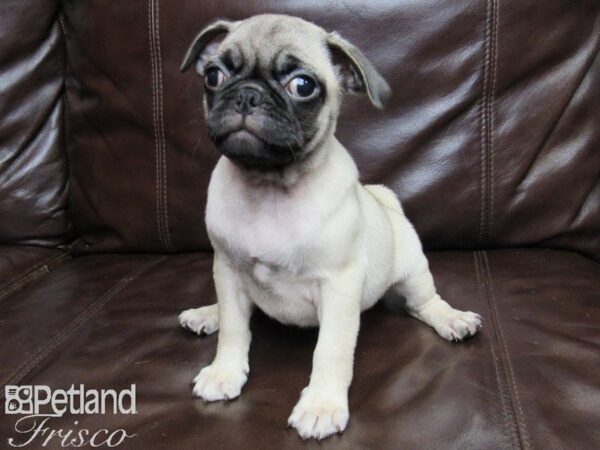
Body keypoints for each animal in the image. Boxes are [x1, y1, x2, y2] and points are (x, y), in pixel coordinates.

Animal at [179, 13, 482, 440]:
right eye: (213, 76)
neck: (269, 187)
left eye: (303, 86)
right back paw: (210, 314)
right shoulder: (227, 270)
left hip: (412, 270)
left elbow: (331, 350)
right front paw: (224, 372)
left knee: (423, 303)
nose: (246, 95)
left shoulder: (339, 287)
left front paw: (321, 405)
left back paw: (451, 318)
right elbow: (235, 330)